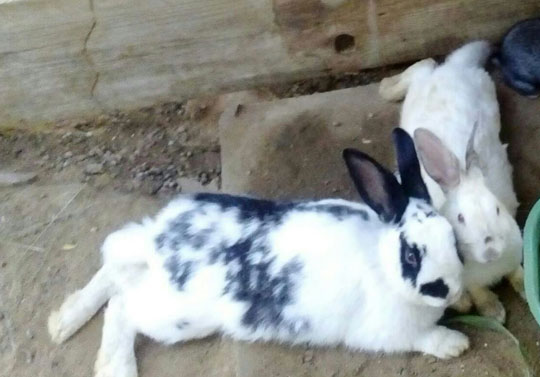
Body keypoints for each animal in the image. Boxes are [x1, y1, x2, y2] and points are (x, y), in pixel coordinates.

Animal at [380, 41, 524, 324]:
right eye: (460, 218)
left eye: (497, 209)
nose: (491, 251)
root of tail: (454, 68)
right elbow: (477, 291)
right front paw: (492, 311)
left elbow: (517, 272)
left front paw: (527, 289)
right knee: (422, 66)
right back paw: (385, 88)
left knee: (425, 63)